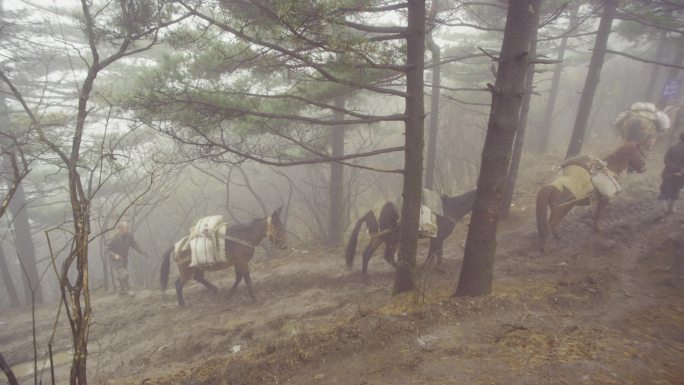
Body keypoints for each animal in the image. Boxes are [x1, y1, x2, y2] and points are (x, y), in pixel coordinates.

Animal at [348, 188, 476, 272]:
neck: (448, 209)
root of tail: (368, 214)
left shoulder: (438, 238)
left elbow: (438, 254)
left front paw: (437, 268)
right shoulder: (437, 238)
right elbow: (432, 255)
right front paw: (426, 268)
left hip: (378, 238)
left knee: (367, 255)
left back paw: (366, 279)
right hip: (392, 240)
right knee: (388, 257)